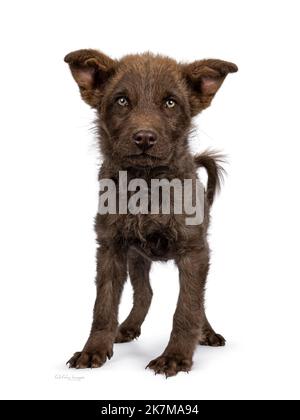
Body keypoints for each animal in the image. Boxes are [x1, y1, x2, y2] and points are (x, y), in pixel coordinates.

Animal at [65, 50, 237, 378]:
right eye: (121, 100)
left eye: (170, 103)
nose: (144, 137)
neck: (146, 186)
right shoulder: (110, 248)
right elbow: (103, 306)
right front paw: (94, 349)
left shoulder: (194, 252)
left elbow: (188, 308)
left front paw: (176, 357)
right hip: (137, 258)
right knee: (146, 292)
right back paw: (128, 327)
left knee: (197, 301)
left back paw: (206, 333)